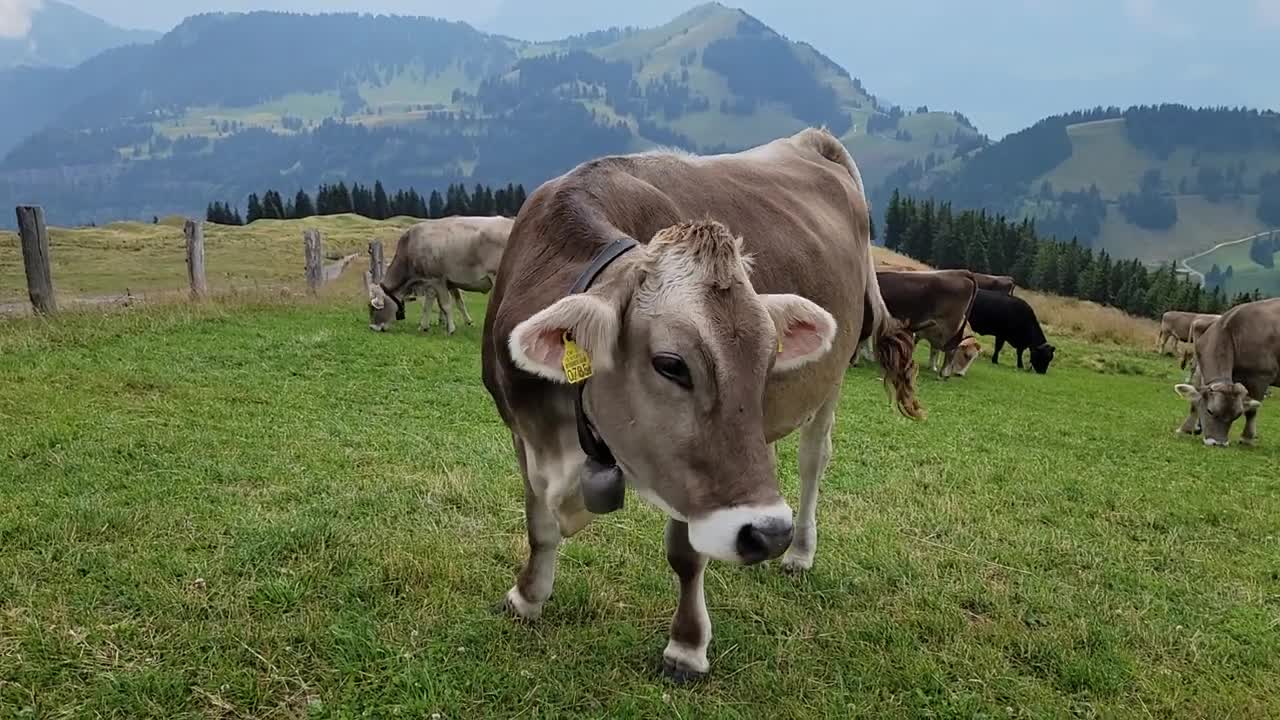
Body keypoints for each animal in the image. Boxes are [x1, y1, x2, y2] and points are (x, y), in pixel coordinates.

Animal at [366, 215, 514, 333]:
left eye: (373, 309)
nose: (372, 328)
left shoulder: (438, 279)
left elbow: (446, 305)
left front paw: (451, 329)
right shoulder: (430, 282)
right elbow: (429, 305)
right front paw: (423, 326)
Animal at [481, 127, 921, 676]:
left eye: (768, 358)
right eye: (672, 364)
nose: (767, 533)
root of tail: (809, 139)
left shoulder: (689, 480)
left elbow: (686, 554)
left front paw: (686, 647)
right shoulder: (522, 431)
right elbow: (538, 523)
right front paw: (526, 598)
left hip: (831, 379)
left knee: (812, 460)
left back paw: (798, 552)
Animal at [1172, 295, 1274, 443]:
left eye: (1237, 415)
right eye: (1210, 411)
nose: (1218, 443)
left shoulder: (1261, 376)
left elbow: (1251, 410)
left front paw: (1247, 437)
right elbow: (1195, 398)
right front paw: (1187, 428)